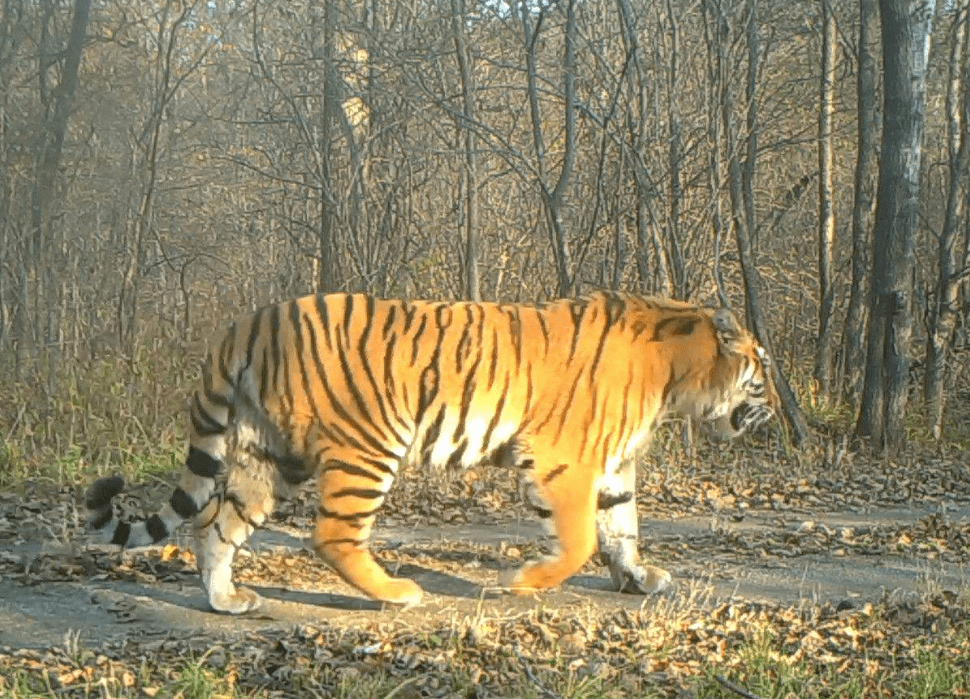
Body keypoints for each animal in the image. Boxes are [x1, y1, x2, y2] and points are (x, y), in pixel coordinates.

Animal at [87, 292, 776, 616]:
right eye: (762, 372)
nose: (775, 410)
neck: (676, 372)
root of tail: (248, 322)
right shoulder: (565, 460)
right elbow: (580, 539)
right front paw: (521, 583)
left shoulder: (611, 464)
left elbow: (623, 526)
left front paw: (638, 578)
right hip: (369, 445)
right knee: (331, 536)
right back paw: (397, 593)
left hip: (269, 457)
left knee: (215, 526)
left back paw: (226, 600)